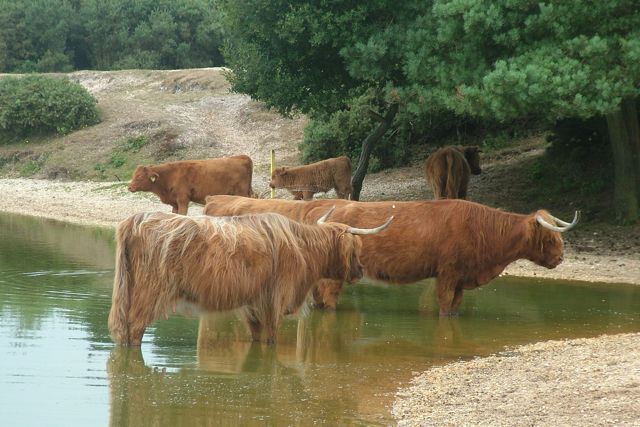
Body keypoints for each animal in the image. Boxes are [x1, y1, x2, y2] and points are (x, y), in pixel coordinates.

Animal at [107, 211, 392, 348]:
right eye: (356, 248)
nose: (360, 270)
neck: (303, 249)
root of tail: (134, 220)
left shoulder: (253, 304)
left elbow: (257, 336)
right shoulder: (275, 301)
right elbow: (271, 338)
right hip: (149, 292)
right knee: (135, 329)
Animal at [205, 196, 580, 316]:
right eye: (551, 235)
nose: (562, 258)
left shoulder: (460, 279)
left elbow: (455, 308)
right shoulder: (447, 275)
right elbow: (444, 307)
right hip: (331, 277)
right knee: (327, 298)